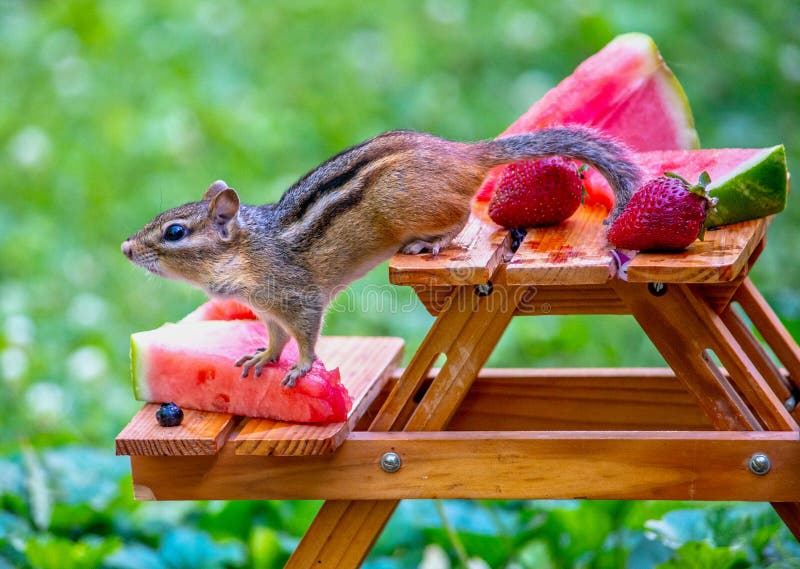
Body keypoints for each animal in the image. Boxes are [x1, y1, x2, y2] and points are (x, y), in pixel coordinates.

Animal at [121, 126, 641, 386]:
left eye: (174, 232)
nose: (126, 247)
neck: (252, 251)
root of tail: (463, 153)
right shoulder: (269, 311)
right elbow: (275, 336)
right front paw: (263, 357)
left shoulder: (299, 298)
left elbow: (306, 336)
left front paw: (302, 367)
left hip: (416, 206)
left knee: (462, 216)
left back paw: (431, 242)